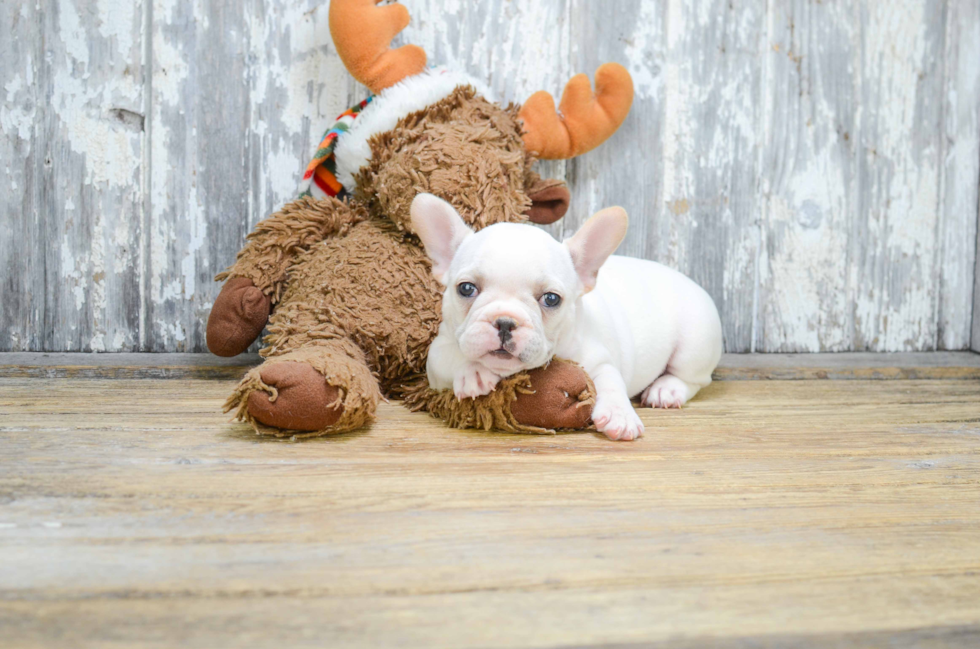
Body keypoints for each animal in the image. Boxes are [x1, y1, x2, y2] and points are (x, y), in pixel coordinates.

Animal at [410, 190, 724, 438]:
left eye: (551, 299)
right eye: (466, 288)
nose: (505, 322)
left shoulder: (598, 359)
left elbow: (611, 381)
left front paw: (620, 415)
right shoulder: (435, 356)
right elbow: (451, 356)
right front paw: (474, 370)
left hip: (695, 342)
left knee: (693, 378)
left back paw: (666, 390)